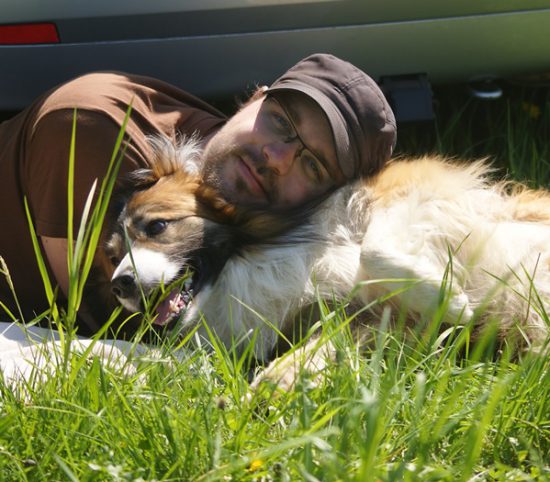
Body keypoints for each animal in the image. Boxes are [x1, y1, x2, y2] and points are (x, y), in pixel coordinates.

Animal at [105, 137, 548, 386]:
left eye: (157, 226)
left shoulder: (415, 188)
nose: (119, 284)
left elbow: (372, 249)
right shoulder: (355, 321)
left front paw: (449, 298)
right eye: (113, 254)